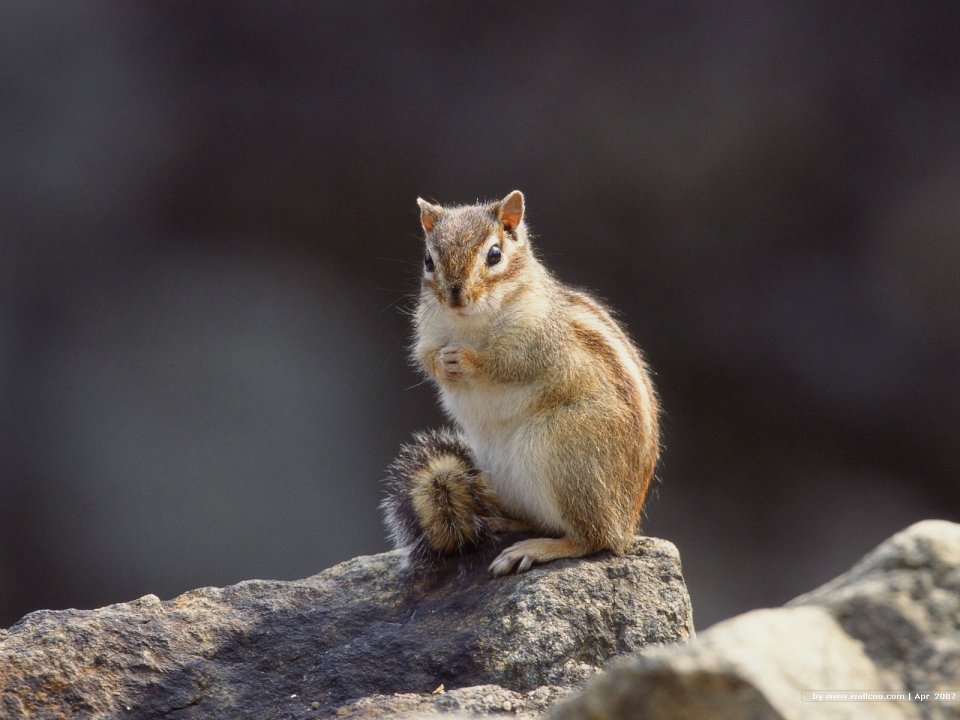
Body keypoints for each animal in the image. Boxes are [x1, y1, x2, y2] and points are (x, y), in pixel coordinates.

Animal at [381, 190, 660, 576]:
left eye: (494, 255)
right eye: (428, 260)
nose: (454, 295)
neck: (470, 324)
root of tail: (628, 527)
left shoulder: (538, 338)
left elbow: (510, 364)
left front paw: (467, 360)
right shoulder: (427, 333)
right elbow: (425, 358)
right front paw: (443, 362)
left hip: (567, 455)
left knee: (593, 539)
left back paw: (535, 549)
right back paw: (504, 522)